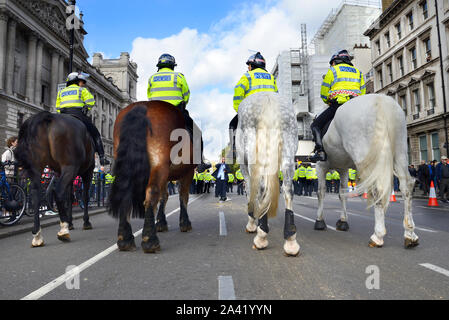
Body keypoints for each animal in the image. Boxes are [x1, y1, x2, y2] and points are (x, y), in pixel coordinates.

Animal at [14, 111, 95, 246]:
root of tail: (50, 117)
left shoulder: (63, 174)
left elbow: (70, 197)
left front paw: (71, 222)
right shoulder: (87, 172)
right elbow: (84, 196)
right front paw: (85, 222)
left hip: (37, 167)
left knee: (36, 195)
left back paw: (37, 235)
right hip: (70, 167)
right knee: (58, 192)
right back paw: (63, 230)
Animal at [108, 101, 196, 254]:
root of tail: (142, 106)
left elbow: (164, 196)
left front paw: (161, 222)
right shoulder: (187, 172)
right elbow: (183, 196)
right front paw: (184, 223)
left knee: (126, 194)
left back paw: (125, 239)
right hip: (159, 163)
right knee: (152, 192)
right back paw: (150, 240)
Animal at [234, 91, 300, 256]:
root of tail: (268, 98)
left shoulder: (244, 167)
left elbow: (249, 190)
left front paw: (252, 223)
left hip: (253, 151)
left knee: (261, 188)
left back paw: (261, 236)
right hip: (288, 148)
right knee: (288, 190)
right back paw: (291, 241)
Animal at [312, 94, 416, 249]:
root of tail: (381, 102)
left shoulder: (321, 166)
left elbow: (321, 193)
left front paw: (320, 220)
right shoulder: (343, 169)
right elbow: (343, 194)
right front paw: (343, 221)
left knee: (377, 190)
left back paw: (378, 236)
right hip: (400, 152)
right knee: (406, 187)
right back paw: (410, 234)